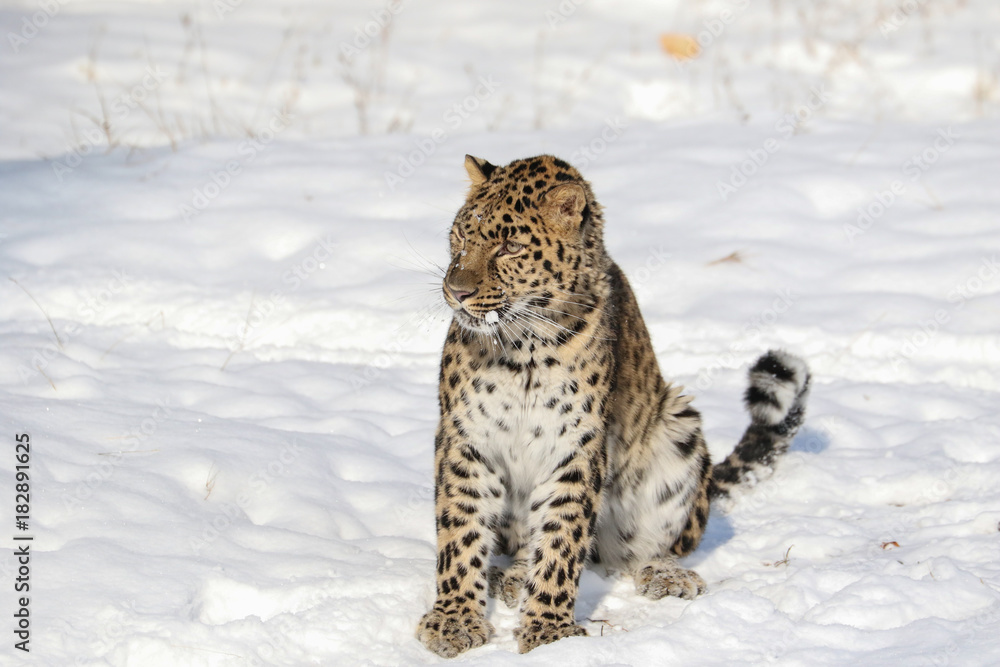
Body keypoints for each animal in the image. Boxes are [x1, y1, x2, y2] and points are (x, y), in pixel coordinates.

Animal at [416, 154, 811, 657]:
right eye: (462, 236)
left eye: (510, 247)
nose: (456, 291)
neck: (522, 348)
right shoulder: (466, 437)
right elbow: (461, 532)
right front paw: (454, 621)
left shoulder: (576, 445)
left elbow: (562, 540)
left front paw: (549, 632)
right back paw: (512, 576)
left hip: (678, 427)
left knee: (645, 549)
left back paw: (666, 575)